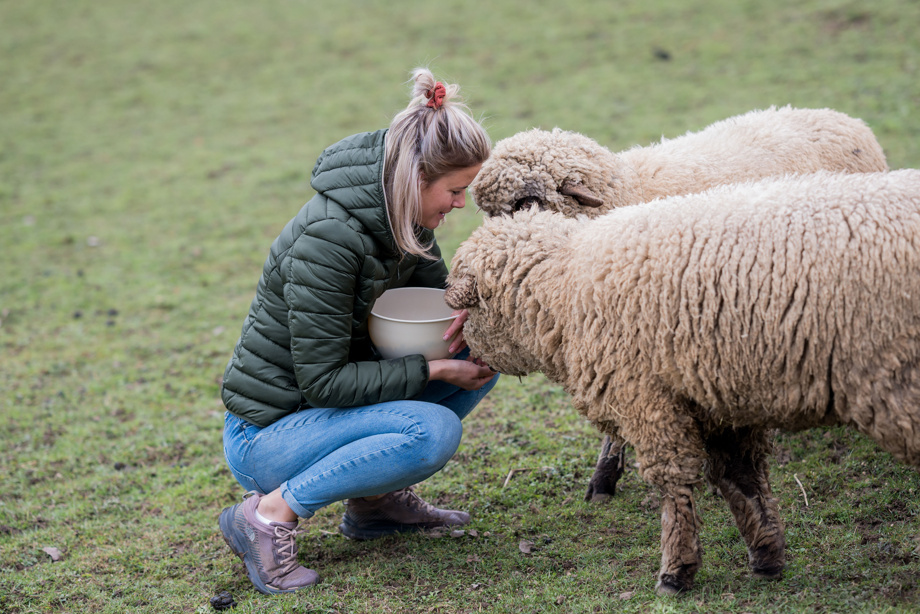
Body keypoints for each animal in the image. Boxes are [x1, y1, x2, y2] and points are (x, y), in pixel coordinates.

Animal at [446, 171, 920, 596]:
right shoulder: (721, 398)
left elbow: (674, 484)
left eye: (469, 311)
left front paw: (676, 571)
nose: (468, 353)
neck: (567, 284)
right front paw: (767, 554)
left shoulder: (645, 397)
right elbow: (741, 478)